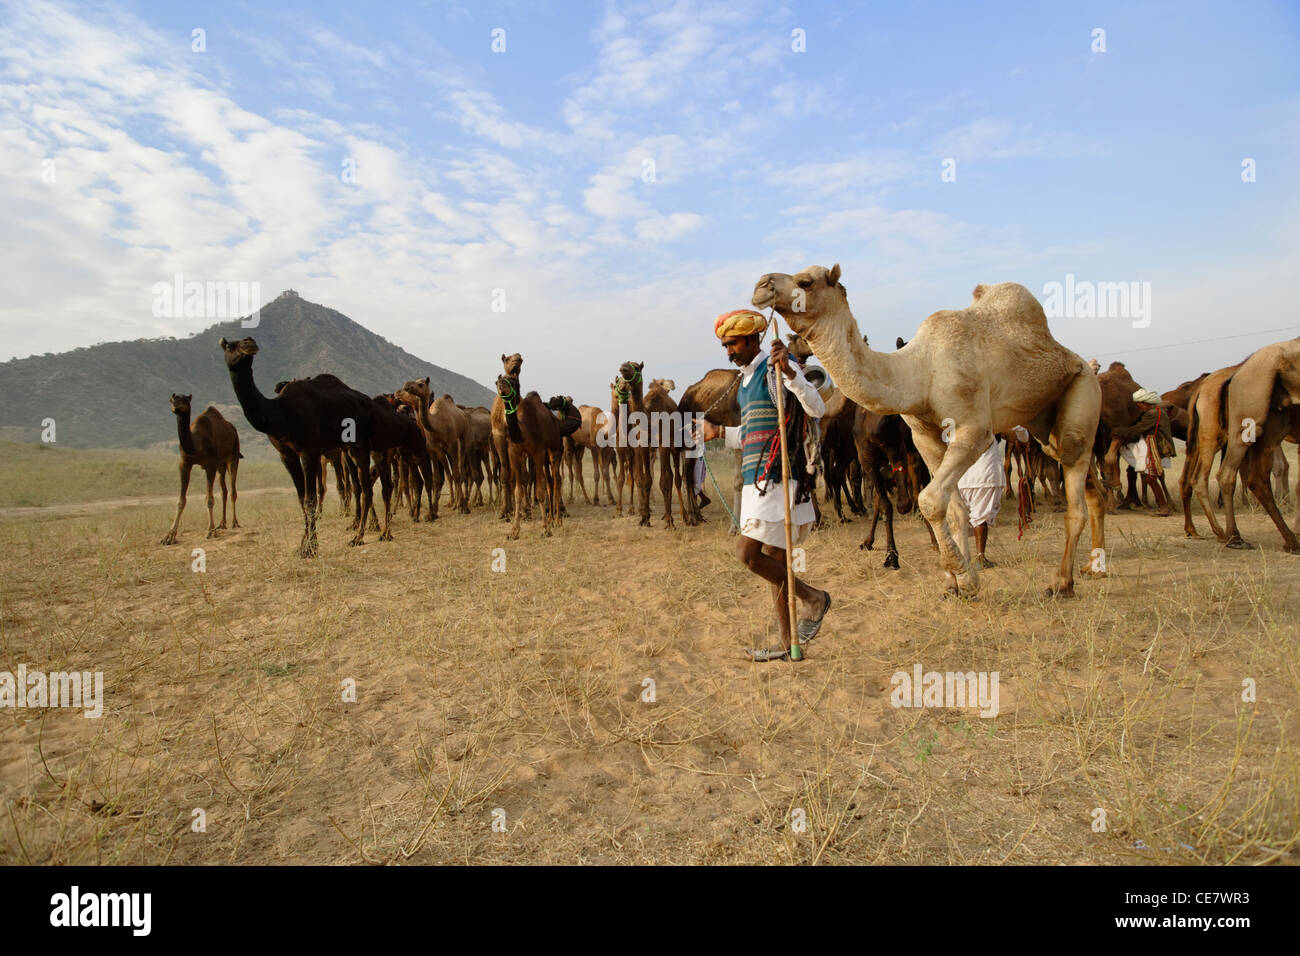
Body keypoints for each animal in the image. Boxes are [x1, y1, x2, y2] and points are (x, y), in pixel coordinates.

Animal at [161, 392, 243, 546]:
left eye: (185, 399)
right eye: (171, 399)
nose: (176, 405)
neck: (196, 445)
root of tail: (233, 429)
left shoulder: (210, 465)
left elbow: (209, 499)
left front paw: (210, 531)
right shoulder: (184, 464)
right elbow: (181, 501)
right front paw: (169, 536)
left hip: (233, 456)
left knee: (232, 491)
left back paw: (235, 523)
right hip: (221, 465)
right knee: (224, 491)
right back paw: (222, 524)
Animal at [754, 257, 1107, 595]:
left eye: (805, 282)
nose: (761, 284)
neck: (919, 372)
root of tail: (1081, 362)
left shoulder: (973, 429)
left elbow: (930, 500)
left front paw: (963, 576)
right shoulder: (924, 436)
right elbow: (955, 509)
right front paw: (957, 583)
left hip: (1083, 390)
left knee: (1075, 489)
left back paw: (1062, 582)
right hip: (1046, 424)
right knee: (1090, 486)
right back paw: (1094, 567)